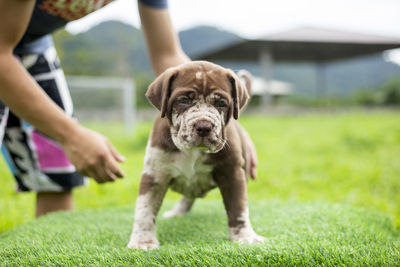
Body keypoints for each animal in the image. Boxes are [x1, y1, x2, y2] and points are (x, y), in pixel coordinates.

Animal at [129, 61, 266, 251]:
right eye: (183, 100)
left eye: (221, 103)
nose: (204, 126)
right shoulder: (154, 173)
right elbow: (145, 208)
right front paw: (143, 241)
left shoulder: (232, 172)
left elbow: (238, 206)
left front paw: (245, 236)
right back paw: (178, 211)